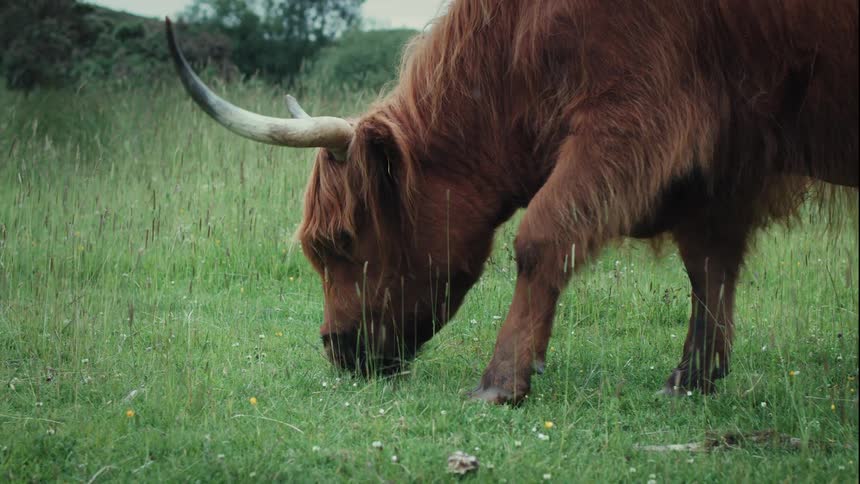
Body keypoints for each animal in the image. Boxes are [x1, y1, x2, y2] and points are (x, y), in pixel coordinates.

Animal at [165, 0, 858, 404]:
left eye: (339, 242)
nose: (335, 347)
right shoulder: (721, 158)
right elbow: (708, 267)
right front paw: (692, 378)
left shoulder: (636, 116)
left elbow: (541, 236)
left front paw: (501, 381)